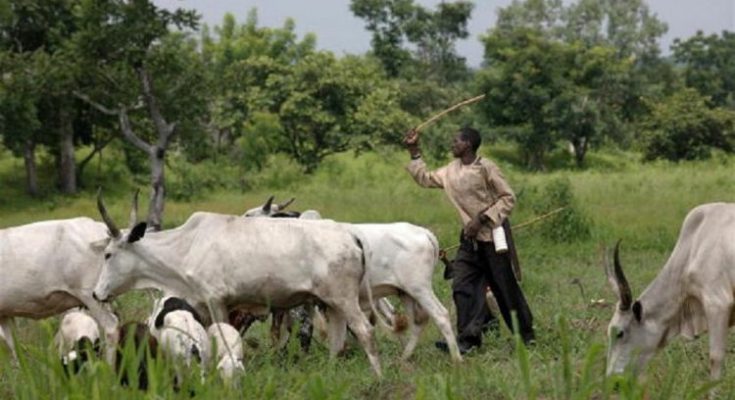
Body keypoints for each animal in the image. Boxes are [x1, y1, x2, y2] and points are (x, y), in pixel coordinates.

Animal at [93, 195, 386, 376]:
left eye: (108, 254)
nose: (96, 293)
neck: (187, 245)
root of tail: (350, 233)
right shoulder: (201, 306)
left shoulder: (217, 301)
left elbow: (224, 336)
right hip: (331, 303)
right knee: (338, 340)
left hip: (344, 299)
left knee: (366, 331)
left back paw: (378, 376)